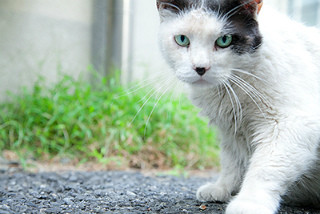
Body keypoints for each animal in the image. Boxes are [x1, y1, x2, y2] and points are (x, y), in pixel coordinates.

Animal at [157, 0, 320, 214]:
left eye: (224, 40)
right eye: (182, 40)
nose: (200, 68)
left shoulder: (291, 123)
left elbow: (266, 167)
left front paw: (250, 202)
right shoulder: (232, 129)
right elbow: (232, 160)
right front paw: (223, 188)